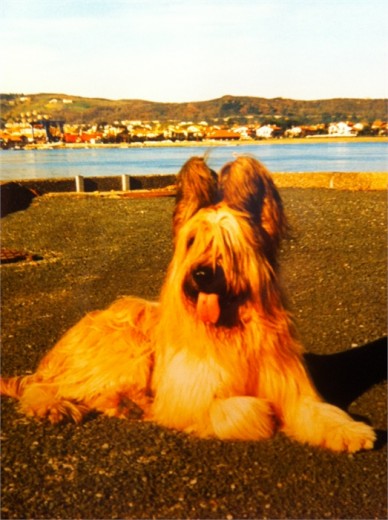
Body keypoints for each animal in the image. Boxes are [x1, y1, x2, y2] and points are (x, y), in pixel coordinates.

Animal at [0, 154, 376, 450]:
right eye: (192, 240)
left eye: (229, 243)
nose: (201, 274)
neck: (233, 330)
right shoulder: (190, 397)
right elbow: (243, 410)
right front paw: (264, 413)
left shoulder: (291, 388)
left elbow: (319, 410)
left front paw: (350, 432)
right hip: (128, 348)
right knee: (44, 386)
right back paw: (57, 406)